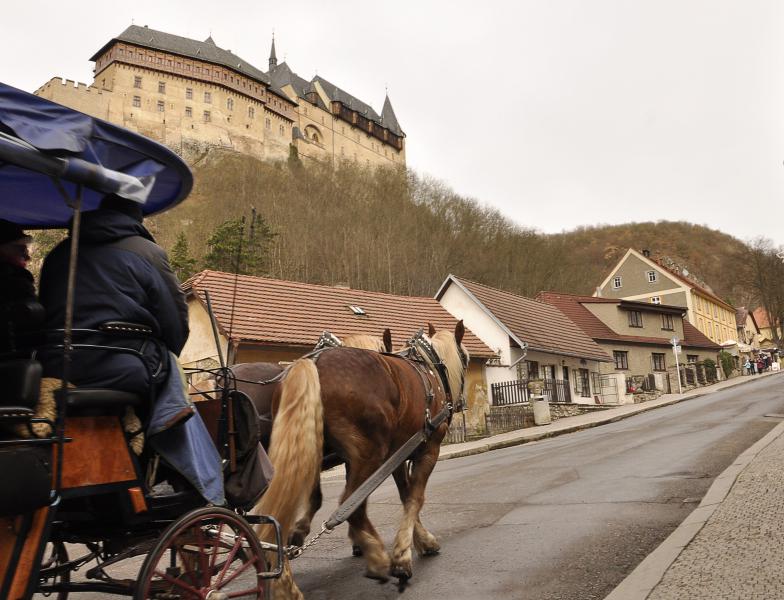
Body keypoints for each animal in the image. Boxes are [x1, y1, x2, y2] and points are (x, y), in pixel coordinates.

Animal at [254, 324, 468, 600]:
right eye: (466, 359)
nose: (461, 404)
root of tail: (313, 362)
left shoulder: (396, 456)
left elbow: (404, 495)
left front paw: (420, 541)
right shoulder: (427, 450)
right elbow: (414, 498)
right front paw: (403, 556)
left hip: (305, 451)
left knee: (282, 515)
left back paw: (285, 583)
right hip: (369, 454)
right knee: (350, 505)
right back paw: (377, 557)